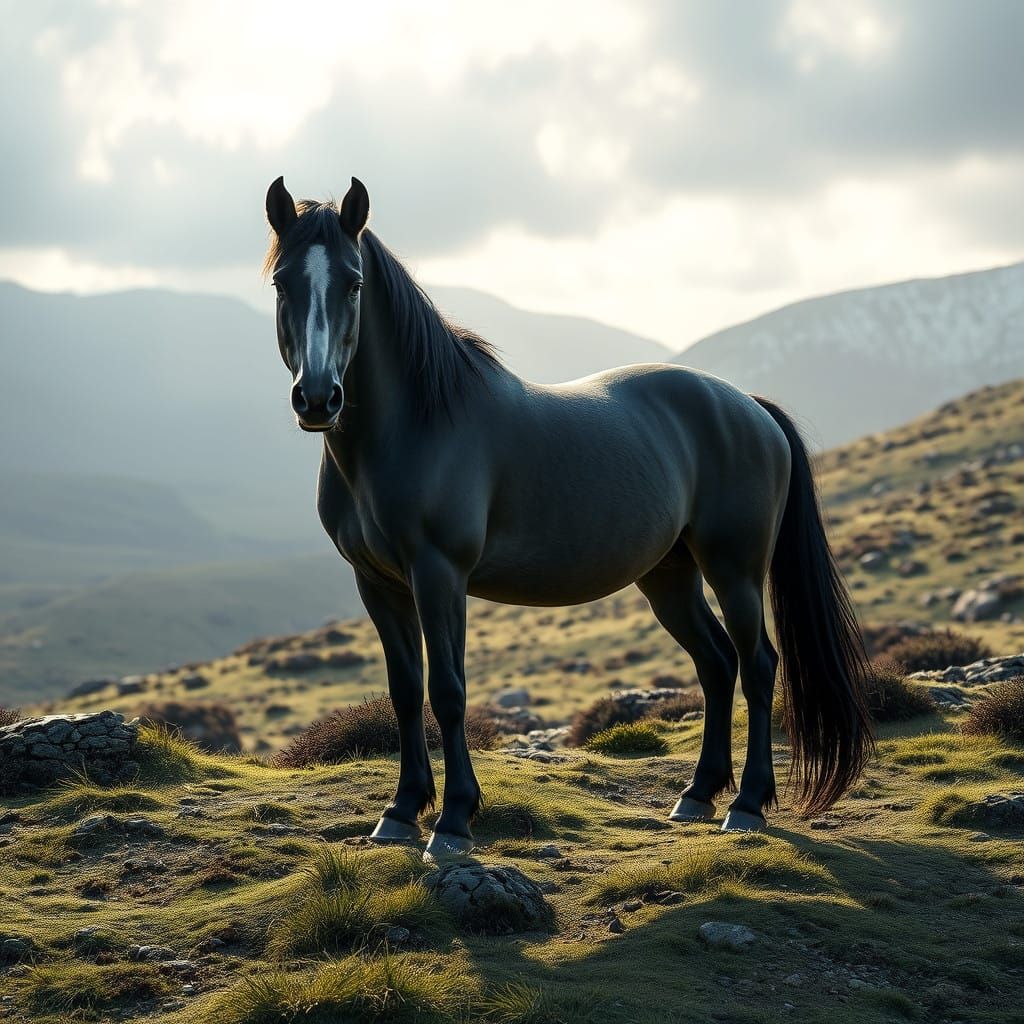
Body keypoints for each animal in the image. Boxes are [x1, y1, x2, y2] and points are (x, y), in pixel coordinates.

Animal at [262, 175, 872, 860]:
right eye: (283, 283)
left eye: (353, 282)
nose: (319, 399)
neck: (414, 427)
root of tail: (750, 406)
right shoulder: (378, 582)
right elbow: (405, 690)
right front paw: (400, 811)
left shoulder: (439, 575)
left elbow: (448, 690)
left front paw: (453, 821)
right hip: (670, 576)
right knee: (717, 663)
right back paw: (695, 796)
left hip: (734, 569)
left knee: (759, 665)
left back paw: (745, 805)